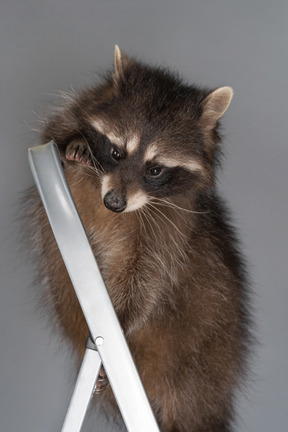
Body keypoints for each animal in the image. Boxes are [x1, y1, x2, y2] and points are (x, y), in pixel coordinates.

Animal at [27, 45, 252, 430]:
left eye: (155, 169)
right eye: (117, 152)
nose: (114, 203)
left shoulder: (171, 227)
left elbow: (143, 276)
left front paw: (122, 319)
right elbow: (51, 133)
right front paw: (75, 142)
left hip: (201, 363)